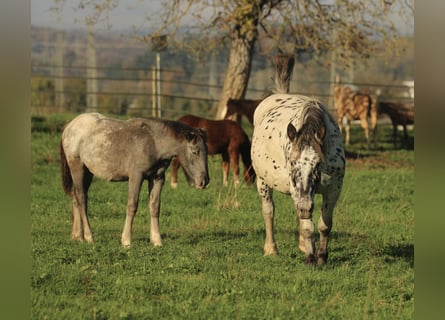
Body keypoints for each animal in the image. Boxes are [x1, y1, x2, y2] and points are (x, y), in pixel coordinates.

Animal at [59, 112, 210, 248]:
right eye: (195, 152)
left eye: (206, 152)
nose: (204, 181)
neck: (154, 142)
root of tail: (69, 126)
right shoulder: (136, 176)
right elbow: (132, 206)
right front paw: (126, 241)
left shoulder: (157, 178)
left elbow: (155, 207)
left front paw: (157, 241)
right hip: (77, 168)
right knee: (81, 198)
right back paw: (88, 236)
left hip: (88, 172)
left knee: (76, 197)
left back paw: (77, 236)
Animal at [251, 55, 346, 264]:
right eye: (292, 162)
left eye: (318, 163)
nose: (304, 206)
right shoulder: (298, 191)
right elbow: (307, 225)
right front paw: (311, 258)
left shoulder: (333, 190)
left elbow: (324, 224)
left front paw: (322, 256)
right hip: (263, 182)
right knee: (269, 211)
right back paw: (271, 249)